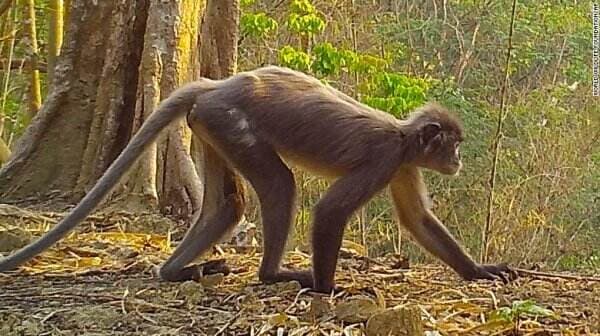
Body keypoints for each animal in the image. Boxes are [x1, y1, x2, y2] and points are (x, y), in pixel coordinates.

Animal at [0, 67, 516, 292]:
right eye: (453, 144)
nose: (458, 161)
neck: (404, 136)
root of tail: (217, 84)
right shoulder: (386, 157)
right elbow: (330, 211)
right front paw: (329, 289)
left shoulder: (403, 163)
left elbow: (418, 221)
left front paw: (479, 272)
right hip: (231, 122)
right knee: (281, 186)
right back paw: (272, 274)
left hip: (211, 124)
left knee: (228, 204)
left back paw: (179, 271)